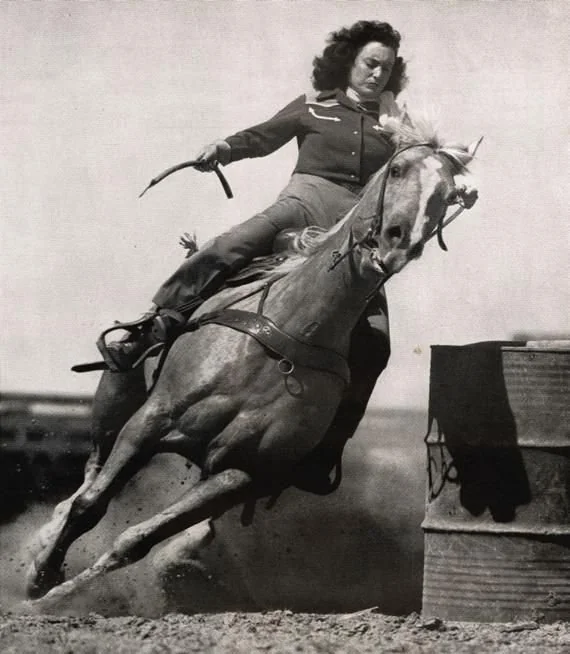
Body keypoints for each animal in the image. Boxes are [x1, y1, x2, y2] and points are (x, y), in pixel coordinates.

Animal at [25, 119, 480, 608]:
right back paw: (44, 537)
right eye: (397, 169)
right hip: (117, 394)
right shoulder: (150, 421)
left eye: (449, 193)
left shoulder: (242, 473)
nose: (400, 242)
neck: (290, 332)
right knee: (90, 470)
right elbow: (90, 506)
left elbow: (136, 540)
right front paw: (39, 583)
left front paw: (56, 596)